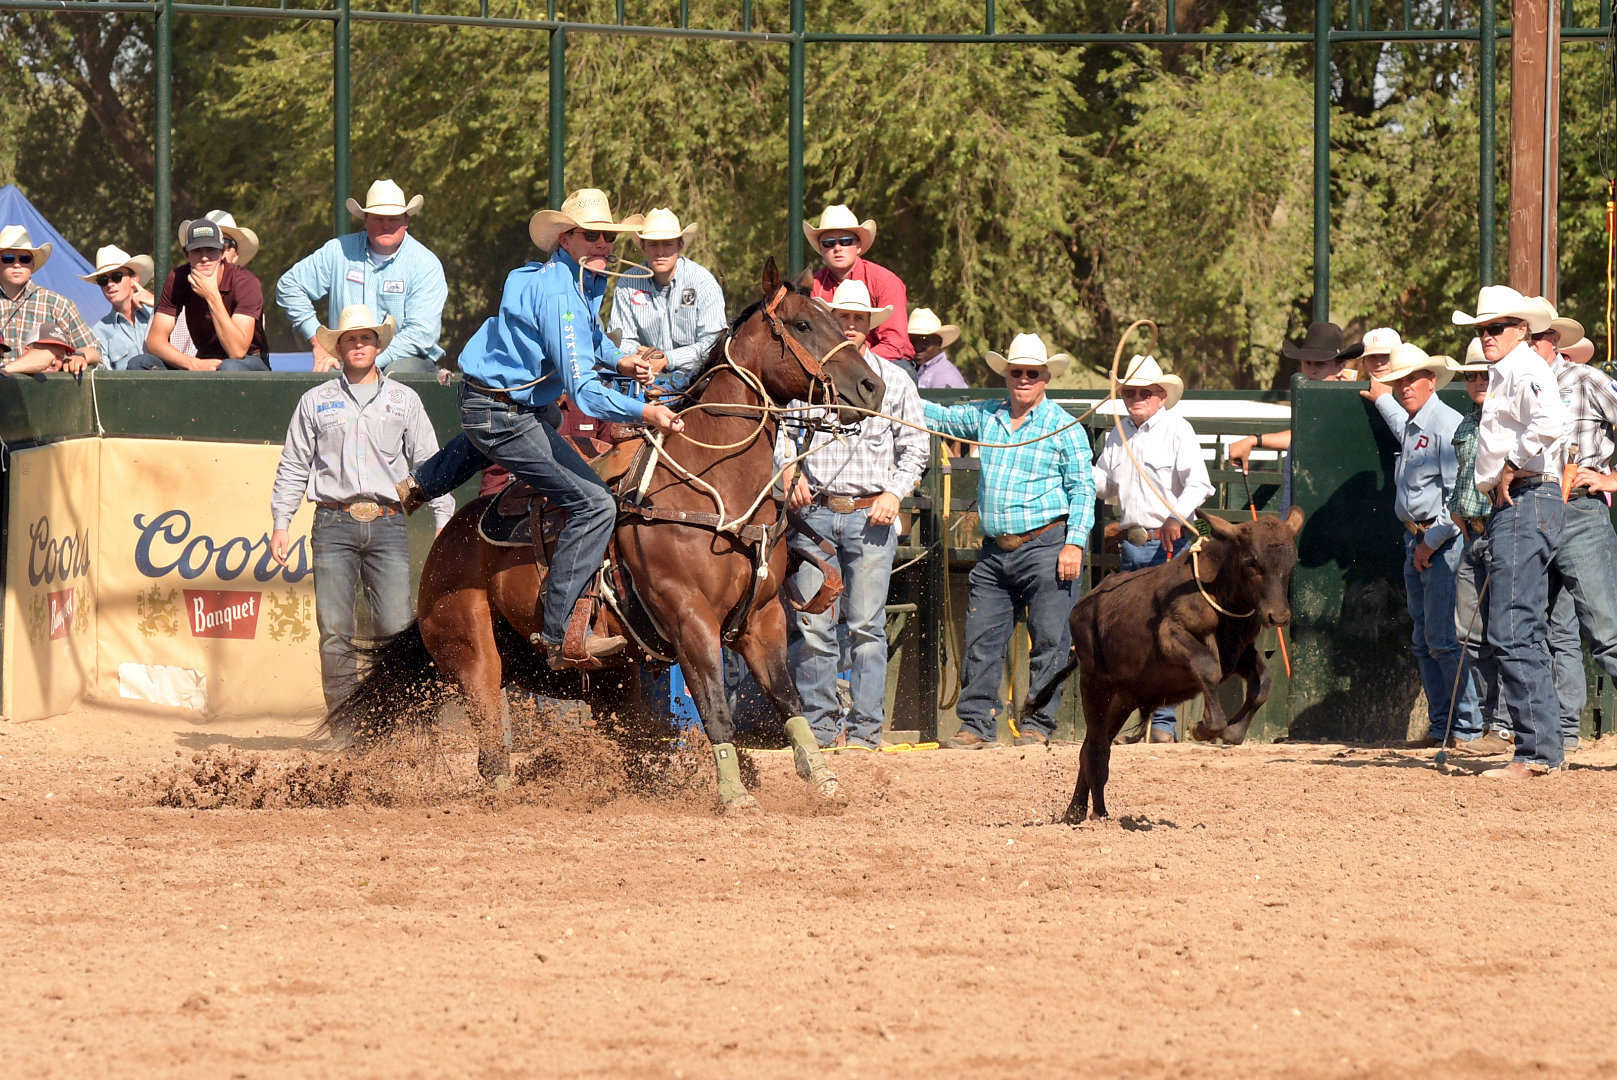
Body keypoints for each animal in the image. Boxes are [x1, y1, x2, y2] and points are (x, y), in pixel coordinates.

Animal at [325, 258, 886, 808]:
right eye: (802, 325)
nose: (872, 388)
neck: (713, 488)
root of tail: (447, 543)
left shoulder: (762, 619)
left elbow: (788, 699)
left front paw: (824, 781)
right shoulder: (689, 617)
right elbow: (715, 705)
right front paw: (734, 795)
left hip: (604, 676)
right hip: (473, 654)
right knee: (490, 745)